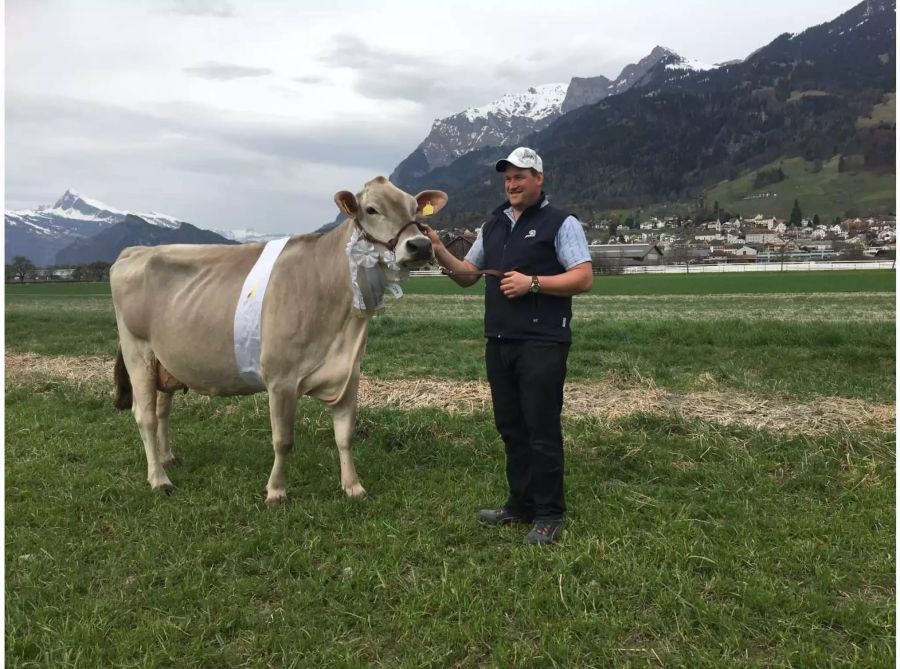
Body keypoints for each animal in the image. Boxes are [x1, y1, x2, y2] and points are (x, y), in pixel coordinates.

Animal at [110, 177, 448, 500]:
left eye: (415, 209)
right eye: (371, 209)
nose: (419, 245)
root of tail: (135, 251)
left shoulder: (348, 374)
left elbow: (345, 436)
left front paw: (353, 486)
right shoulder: (280, 378)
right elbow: (283, 440)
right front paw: (276, 491)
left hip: (165, 360)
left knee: (162, 409)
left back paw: (167, 458)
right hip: (138, 351)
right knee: (145, 416)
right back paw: (159, 479)